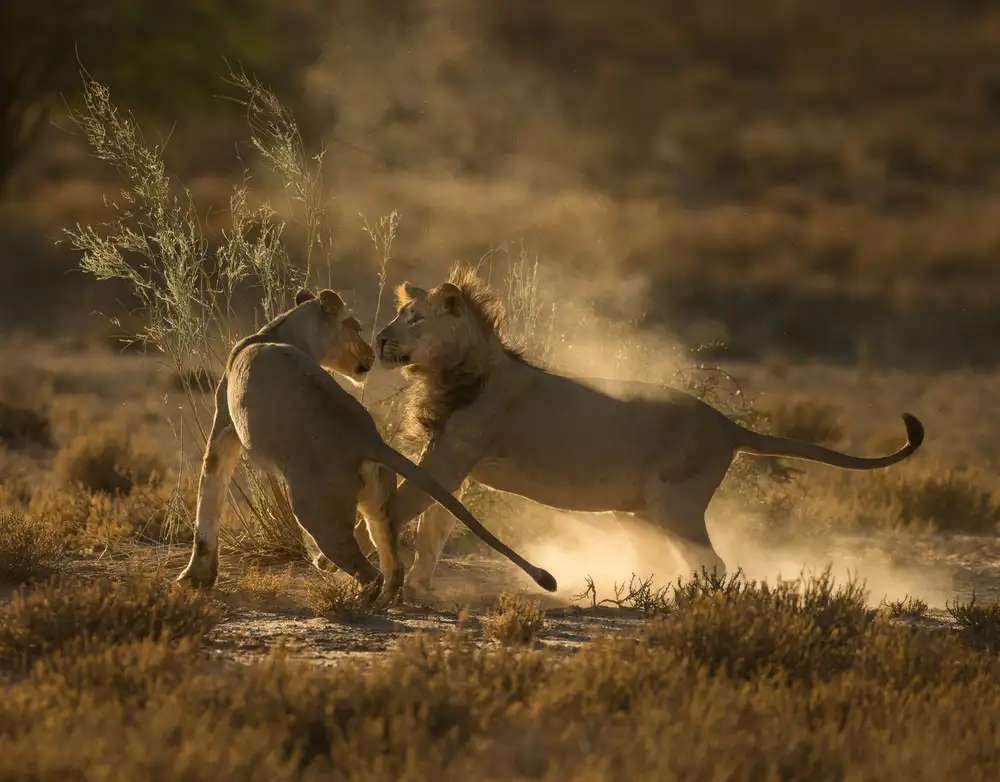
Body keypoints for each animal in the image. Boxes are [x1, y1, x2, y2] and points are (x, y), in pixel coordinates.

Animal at [175, 287, 557, 602]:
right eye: (357, 328)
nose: (372, 353)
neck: (280, 332)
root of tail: (366, 436)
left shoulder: (224, 429)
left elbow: (209, 499)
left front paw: (195, 577)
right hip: (378, 502)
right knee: (391, 560)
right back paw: (387, 599)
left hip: (317, 510)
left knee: (365, 568)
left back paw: (357, 601)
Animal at [374, 264, 925, 599]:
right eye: (400, 315)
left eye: (414, 319)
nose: (379, 339)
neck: (452, 372)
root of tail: (726, 424)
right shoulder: (452, 464)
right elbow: (433, 527)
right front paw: (418, 587)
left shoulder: (451, 455)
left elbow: (404, 506)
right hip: (636, 512)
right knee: (666, 559)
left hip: (673, 502)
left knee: (712, 562)